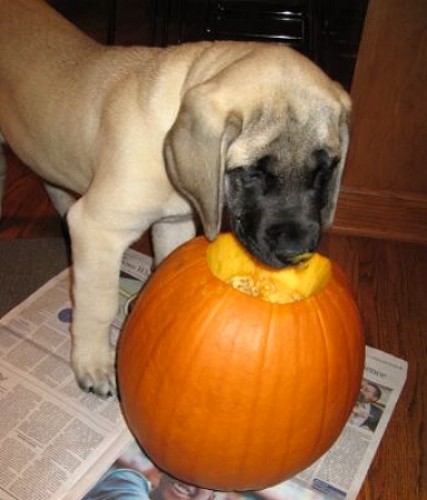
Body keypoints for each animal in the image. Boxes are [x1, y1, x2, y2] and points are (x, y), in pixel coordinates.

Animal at [0, 0, 352, 398]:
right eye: (251, 173)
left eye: (326, 169)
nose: (297, 253)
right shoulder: (98, 230)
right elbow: (98, 303)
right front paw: (93, 363)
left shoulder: (174, 222)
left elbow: (165, 265)